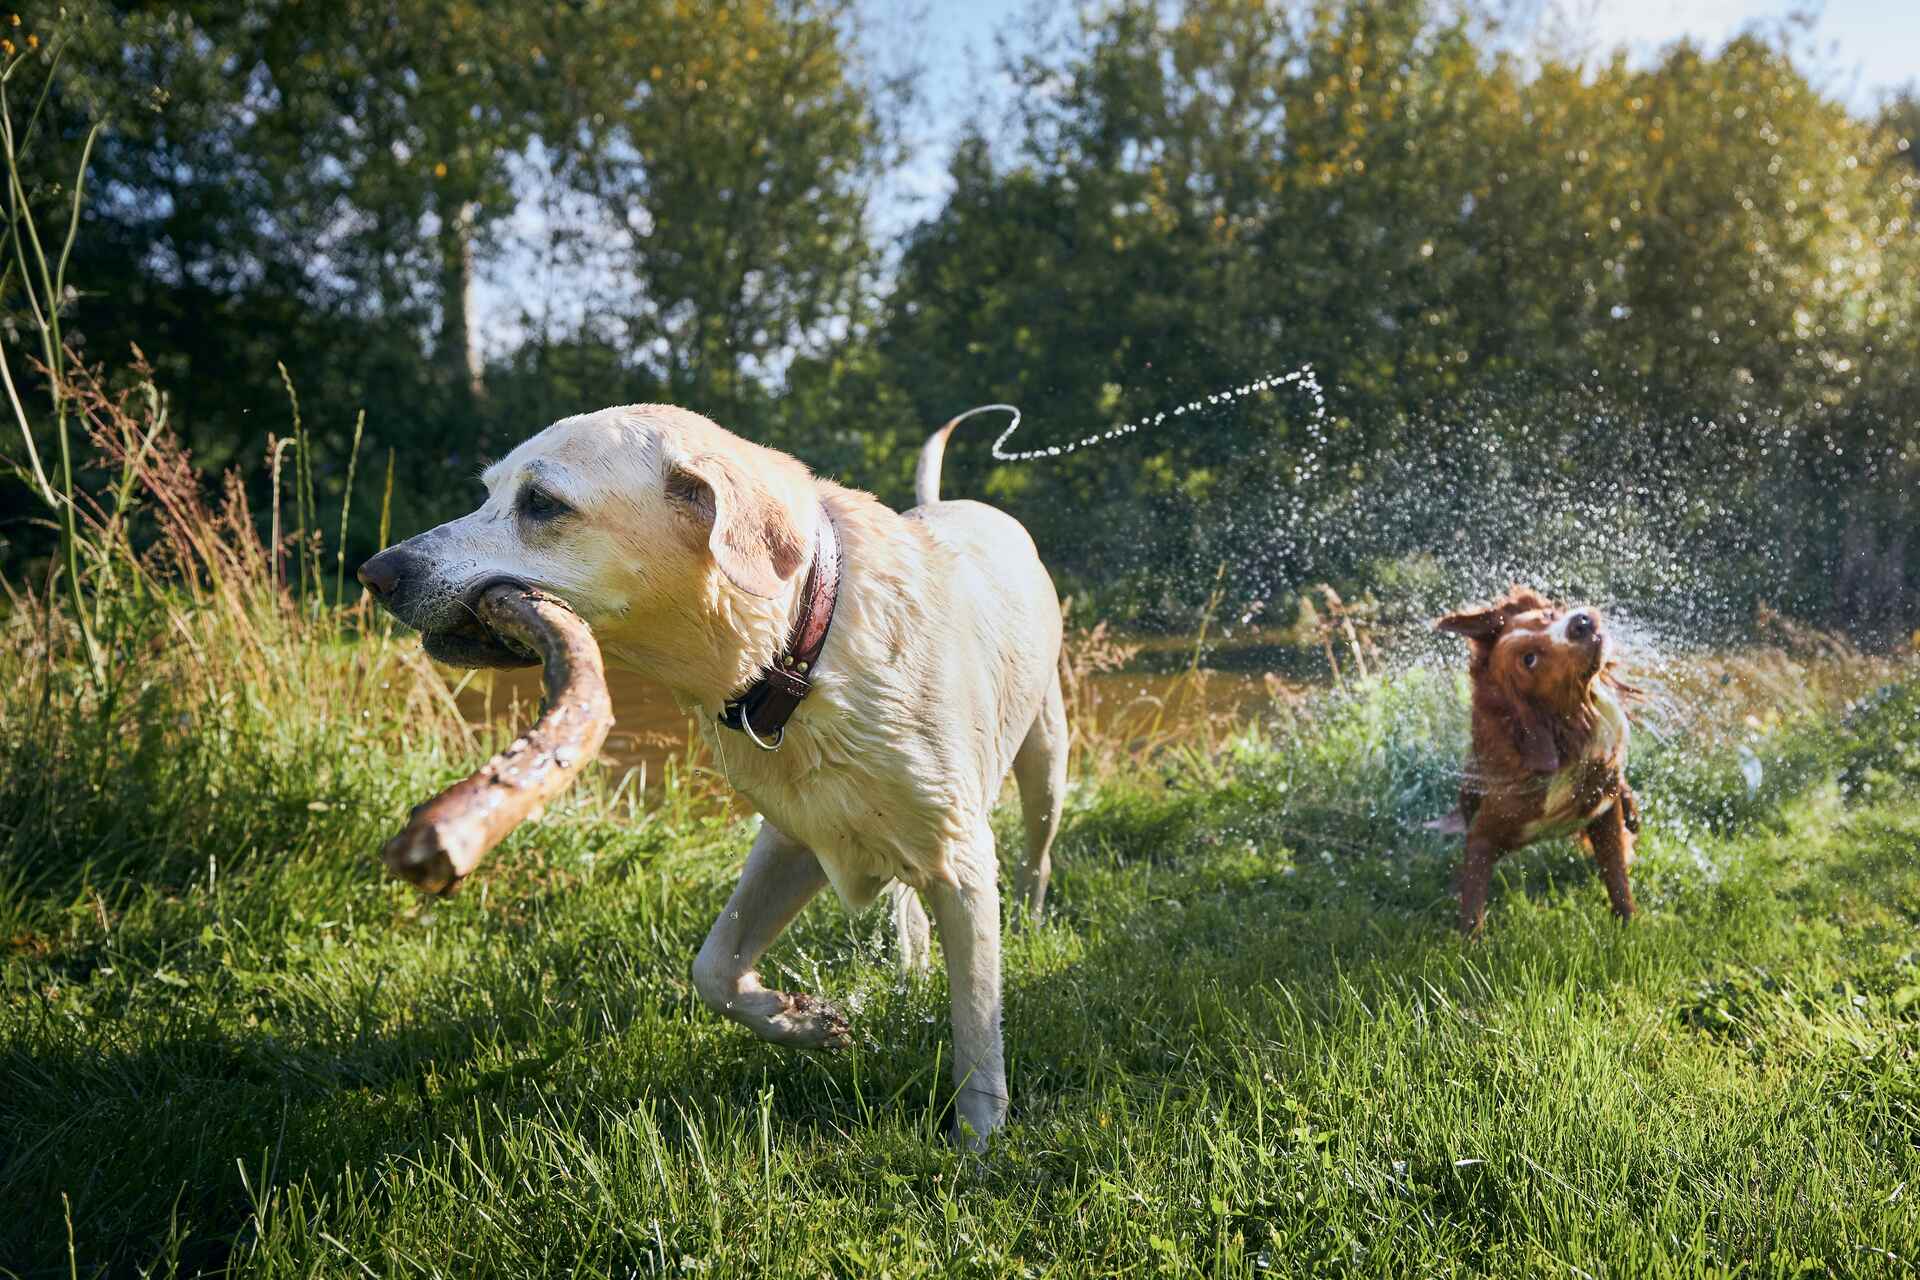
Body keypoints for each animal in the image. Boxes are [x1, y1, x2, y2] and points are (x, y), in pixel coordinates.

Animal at [1436, 587, 1643, 932]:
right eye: (1529, 659)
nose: (1581, 623)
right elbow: (1472, 901)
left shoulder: (1602, 807)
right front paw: (1469, 939)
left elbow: (1617, 878)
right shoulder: (1485, 832)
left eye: (1548, 616)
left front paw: (1628, 925)